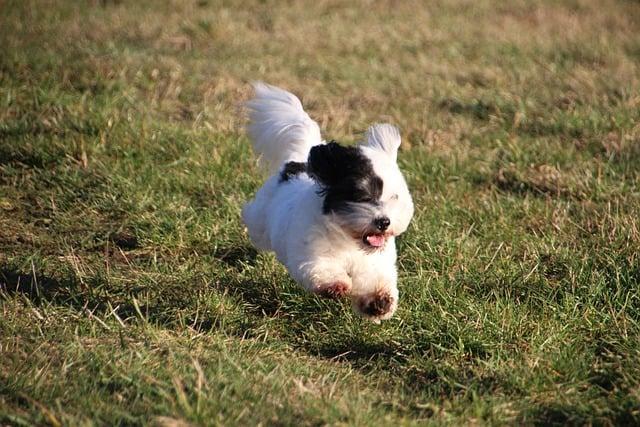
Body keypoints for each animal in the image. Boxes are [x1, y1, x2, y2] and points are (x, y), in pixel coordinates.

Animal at [241, 83, 416, 320]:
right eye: (362, 196)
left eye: (394, 198)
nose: (384, 222)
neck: (349, 239)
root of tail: (298, 162)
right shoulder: (314, 254)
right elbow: (323, 269)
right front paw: (336, 286)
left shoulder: (374, 263)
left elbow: (375, 281)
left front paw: (378, 302)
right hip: (260, 219)